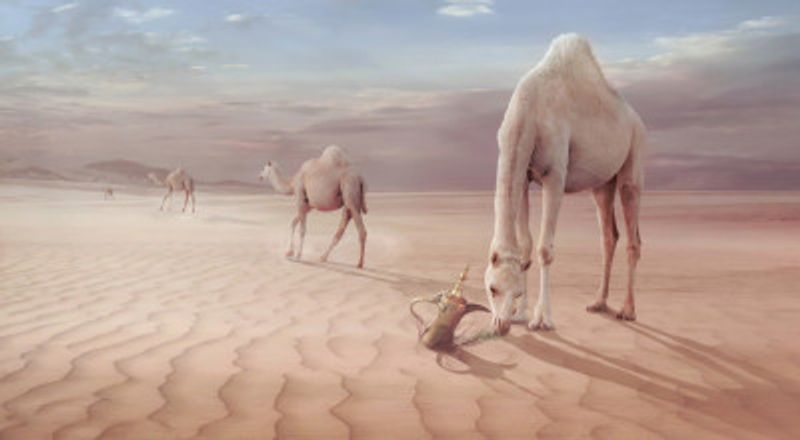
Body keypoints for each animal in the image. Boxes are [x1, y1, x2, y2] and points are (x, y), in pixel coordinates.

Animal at [484, 34, 646, 335]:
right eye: (492, 288)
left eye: (516, 292)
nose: (501, 326)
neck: (529, 111)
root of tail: (637, 119)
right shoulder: (524, 176)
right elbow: (526, 245)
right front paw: (522, 315)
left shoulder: (555, 176)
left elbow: (545, 250)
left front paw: (542, 319)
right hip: (602, 184)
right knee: (609, 236)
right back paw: (598, 303)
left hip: (635, 156)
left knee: (633, 235)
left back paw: (628, 310)